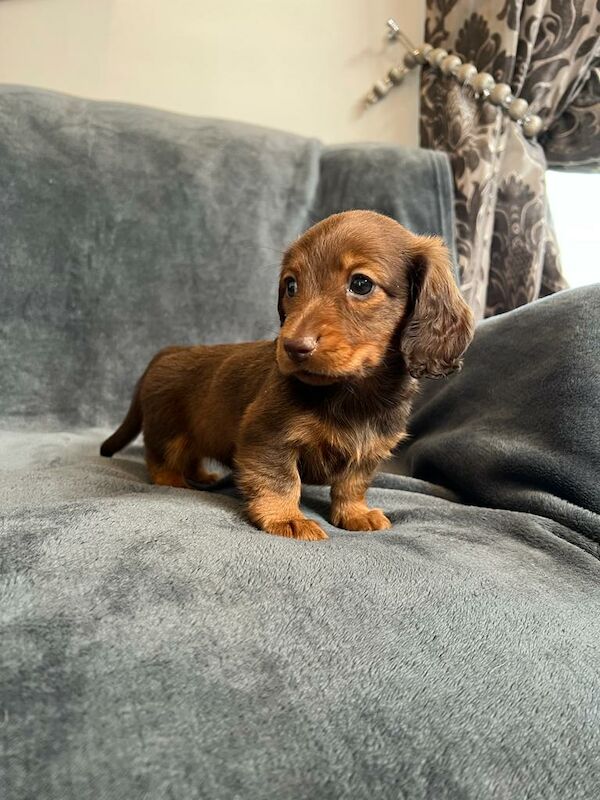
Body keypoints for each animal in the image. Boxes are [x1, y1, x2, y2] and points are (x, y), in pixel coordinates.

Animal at [101, 209, 474, 540]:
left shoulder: (369, 451)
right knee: (161, 458)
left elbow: (352, 484)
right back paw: (174, 481)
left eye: (361, 284)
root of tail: (168, 352)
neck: (354, 393)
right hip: (168, 431)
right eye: (291, 285)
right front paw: (286, 518)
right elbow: (282, 480)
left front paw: (355, 513)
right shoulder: (267, 436)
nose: (294, 346)